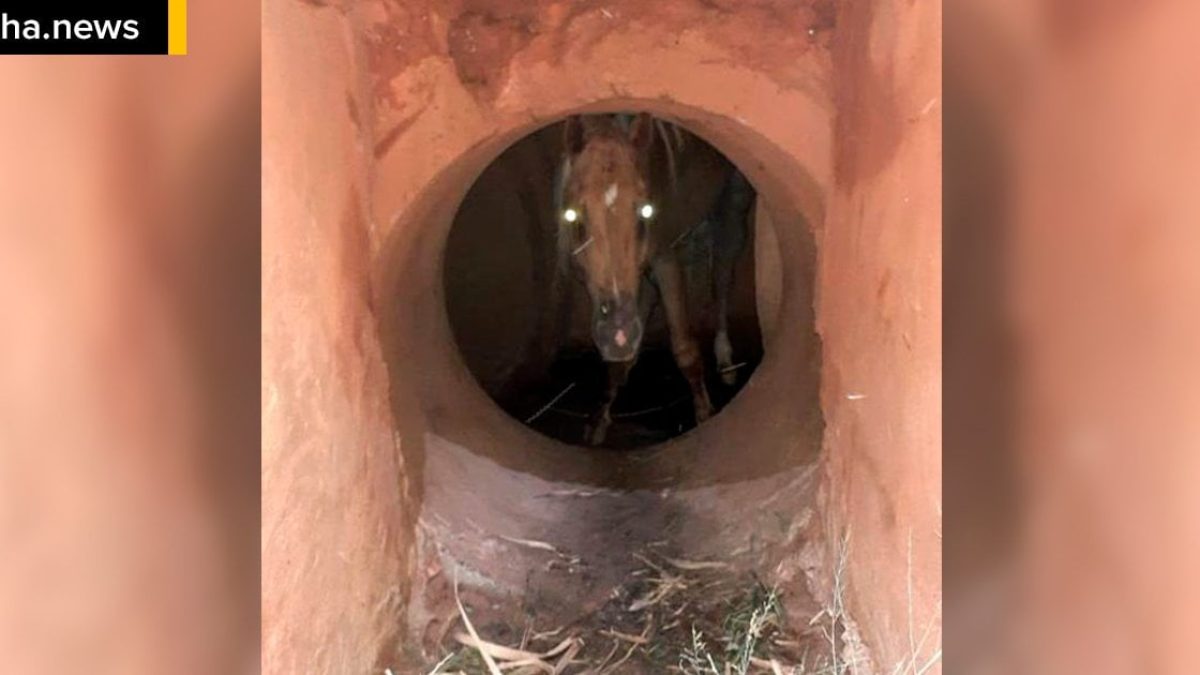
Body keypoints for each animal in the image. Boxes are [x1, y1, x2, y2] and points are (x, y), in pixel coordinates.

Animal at [552, 113, 754, 445]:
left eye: (645, 210)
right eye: (574, 216)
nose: (617, 335)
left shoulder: (664, 259)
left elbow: (684, 347)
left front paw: (704, 415)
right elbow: (620, 355)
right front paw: (597, 422)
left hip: (732, 207)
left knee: (722, 279)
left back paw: (726, 363)